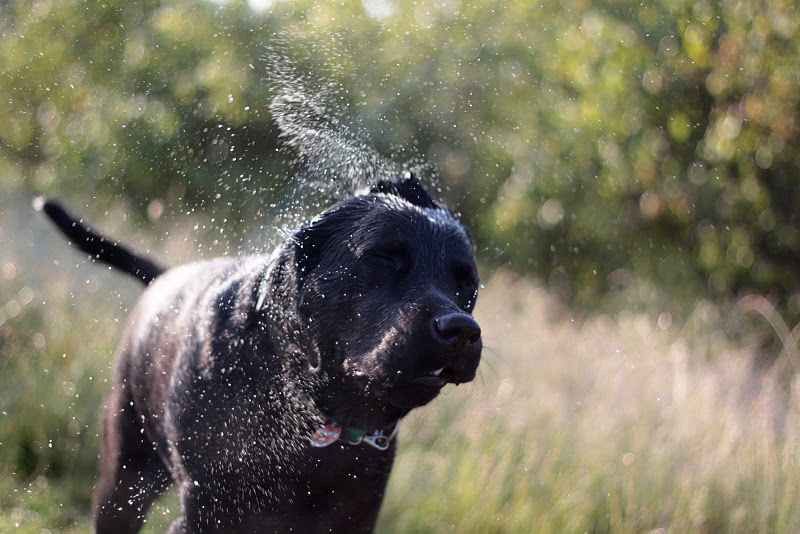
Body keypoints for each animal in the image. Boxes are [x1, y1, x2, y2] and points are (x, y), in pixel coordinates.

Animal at [40, 175, 482, 532]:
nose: (461, 329)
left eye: (467, 281)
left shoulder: (353, 520)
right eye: (383, 256)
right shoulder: (206, 517)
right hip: (123, 480)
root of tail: (164, 276)